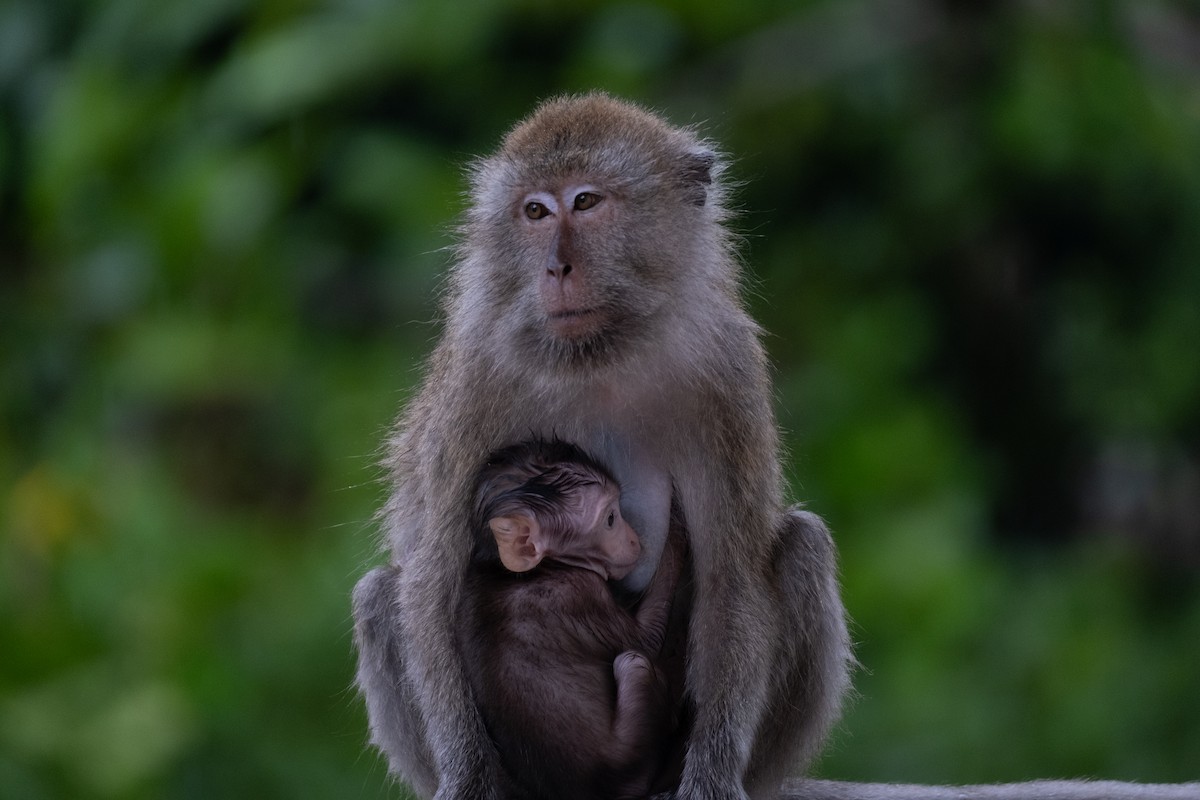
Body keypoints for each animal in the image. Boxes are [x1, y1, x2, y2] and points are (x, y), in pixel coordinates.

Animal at [458, 438, 689, 800]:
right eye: (610, 519)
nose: (634, 539)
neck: (535, 571)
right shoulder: (583, 593)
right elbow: (646, 641)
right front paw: (677, 531)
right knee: (633, 662)